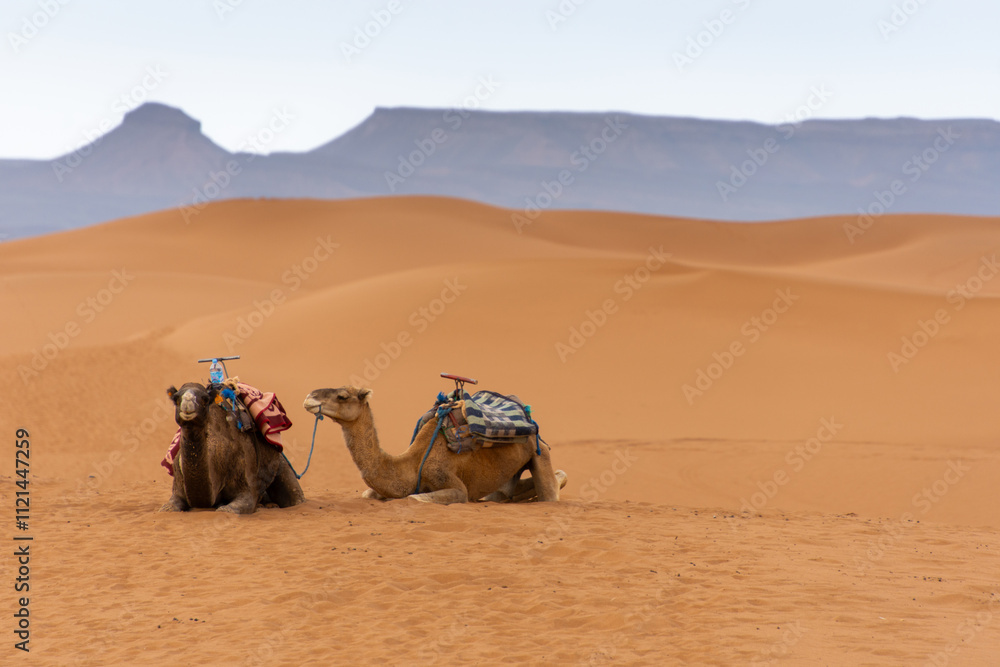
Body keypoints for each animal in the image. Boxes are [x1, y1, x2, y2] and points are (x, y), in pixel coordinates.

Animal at [159, 382, 305, 514]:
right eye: (176, 398)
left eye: (205, 399)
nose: (187, 404)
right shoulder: (178, 482)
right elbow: (168, 507)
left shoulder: (246, 481)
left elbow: (229, 509)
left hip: (281, 465)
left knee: (294, 498)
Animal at [303, 386, 567, 504]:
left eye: (342, 396)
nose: (309, 398)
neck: (411, 464)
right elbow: (369, 493)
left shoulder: (448, 480)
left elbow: (415, 498)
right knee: (505, 491)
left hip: (538, 451)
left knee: (551, 487)